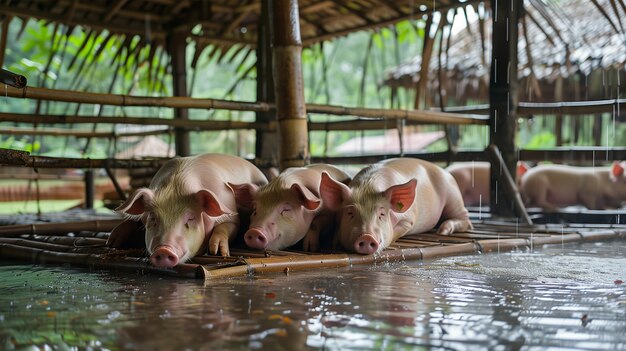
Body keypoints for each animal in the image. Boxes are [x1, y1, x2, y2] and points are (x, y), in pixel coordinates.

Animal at [106, 154, 266, 266]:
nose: (164, 249)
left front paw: (218, 252)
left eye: (190, 218)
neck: (176, 187)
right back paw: (111, 241)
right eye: (153, 218)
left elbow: (226, 227)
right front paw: (112, 243)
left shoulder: (232, 217)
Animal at [320, 158, 470, 254]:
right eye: (350, 213)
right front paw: (335, 244)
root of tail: (445, 171)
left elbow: (394, 233)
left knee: (465, 220)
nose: (367, 237)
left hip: (453, 196)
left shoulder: (409, 219)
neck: (367, 186)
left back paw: (443, 231)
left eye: (382, 214)